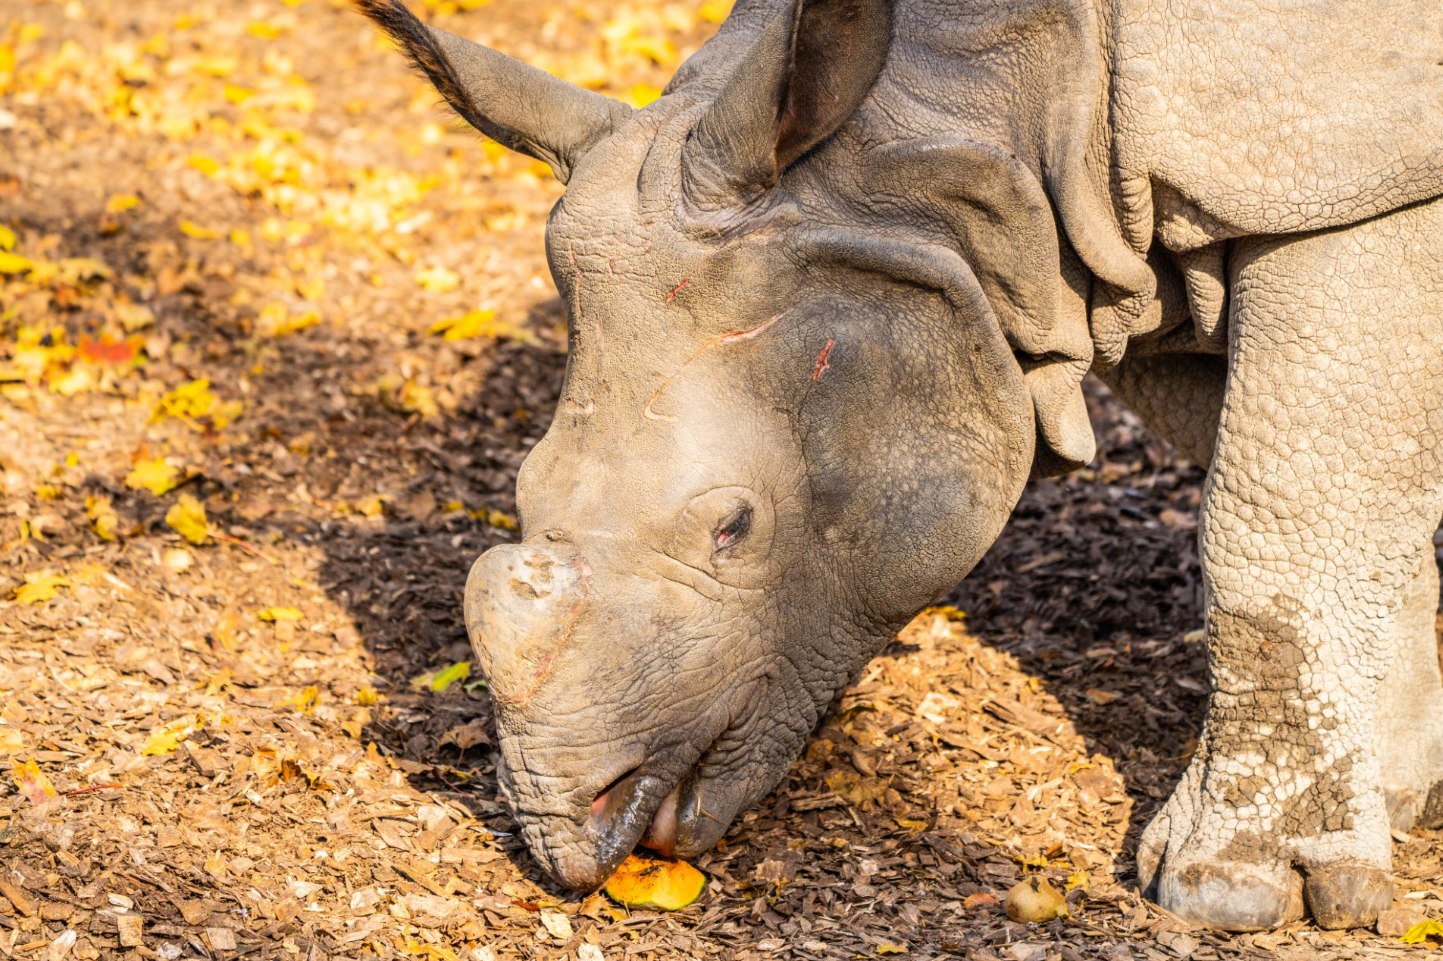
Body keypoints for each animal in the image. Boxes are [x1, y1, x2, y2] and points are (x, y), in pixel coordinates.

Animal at [356, 0, 1443, 932]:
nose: (564, 828)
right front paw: (1399, 790)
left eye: (732, 527)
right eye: (522, 491)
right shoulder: (1135, 242)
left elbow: (1277, 521)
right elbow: (1334, 495)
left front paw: (1237, 890)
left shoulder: (1344, 185)